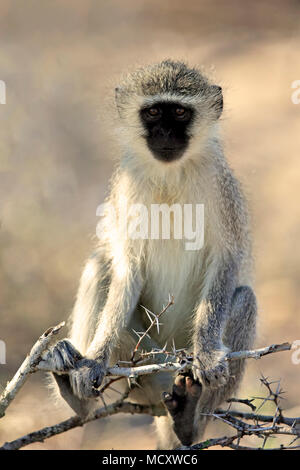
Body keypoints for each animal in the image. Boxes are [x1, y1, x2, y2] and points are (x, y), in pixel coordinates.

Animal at [46, 60, 255, 450]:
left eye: (180, 112)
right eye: (154, 112)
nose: (166, 134)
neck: (170, 174)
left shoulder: (219, 184)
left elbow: (226, 259)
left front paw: (207, 352)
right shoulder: (127, 186)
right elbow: (128, 269)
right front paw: (94, 361)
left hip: (172, 365)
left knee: (246, 297)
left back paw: (190, 420)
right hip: (145, 365)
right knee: (100, 267)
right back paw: (75, 395)